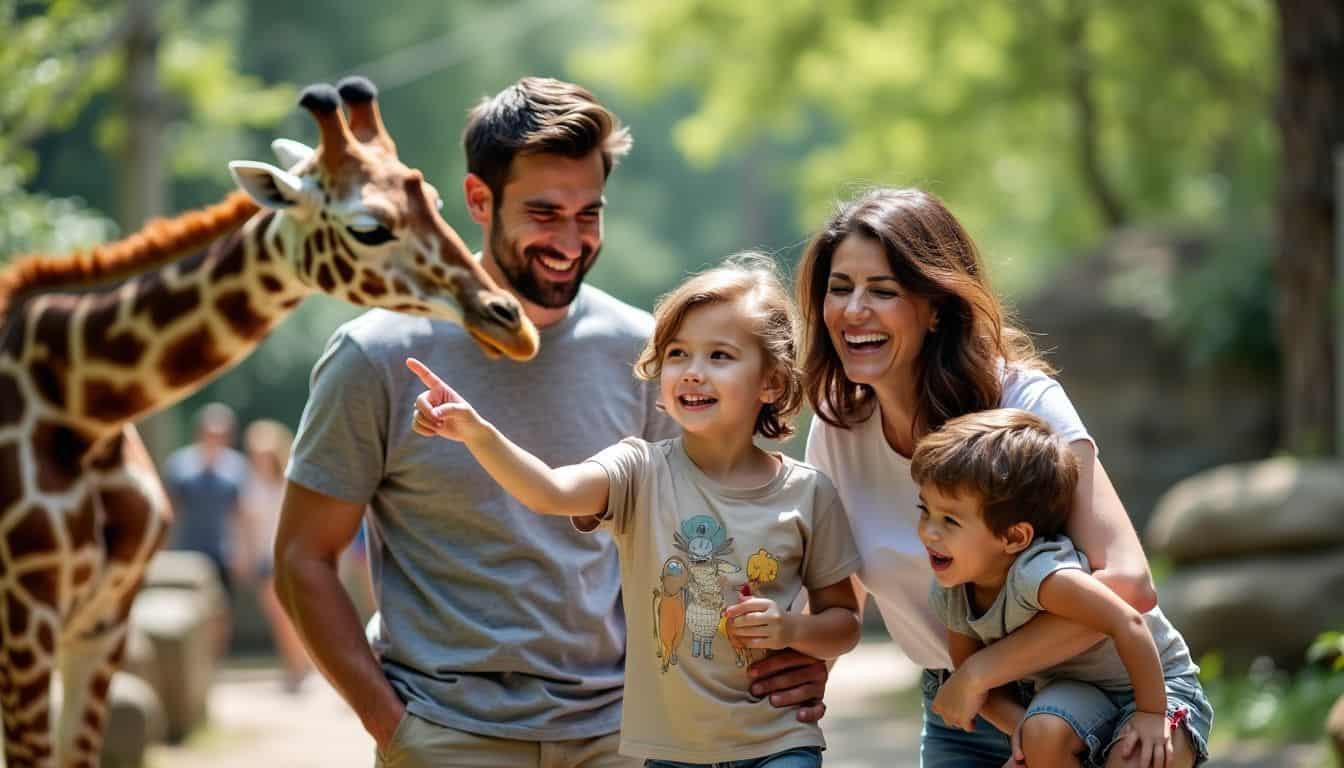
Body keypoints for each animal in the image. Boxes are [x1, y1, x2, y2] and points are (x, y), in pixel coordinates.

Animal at [0, 76, 534, 768]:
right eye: (368, 228)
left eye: (437, 202)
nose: (512, 323)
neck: (82, 407)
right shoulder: (26, 619)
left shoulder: (104, 620)